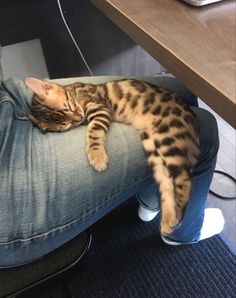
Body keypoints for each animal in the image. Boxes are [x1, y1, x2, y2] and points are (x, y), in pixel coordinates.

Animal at [25, 77, 199, 235]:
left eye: (68, 107)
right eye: (66, 125)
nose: (79, 117)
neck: (75, 92)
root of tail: (191, 116)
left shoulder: (99, 107)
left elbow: (94, 129)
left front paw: (97, 156)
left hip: (167, 137)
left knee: (186, 178)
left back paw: (177, 215)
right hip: (153, 147)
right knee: (167, 182)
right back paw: (169, 221)